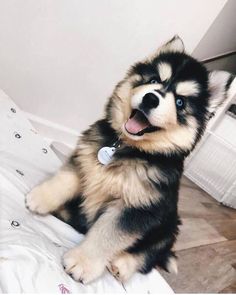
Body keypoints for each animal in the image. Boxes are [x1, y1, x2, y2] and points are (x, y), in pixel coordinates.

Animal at [25, 36, 234, 284]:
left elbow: (107, 235)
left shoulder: (137, 209)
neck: (128, 148)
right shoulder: (85, 157)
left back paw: (122, 264)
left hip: (168, 228)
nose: (151, 98)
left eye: (180, 102)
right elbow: (65, 179)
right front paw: (41, 198)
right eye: (154, 80)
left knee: (147, 256)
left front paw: (82, 263)